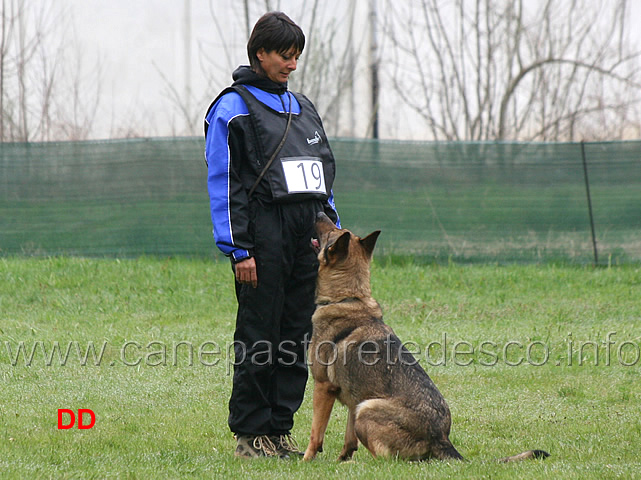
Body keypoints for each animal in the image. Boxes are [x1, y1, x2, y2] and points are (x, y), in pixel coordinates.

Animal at [302, 213, 548, 462]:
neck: (349, 298)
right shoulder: (354, 398)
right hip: (363, 405)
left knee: (387, 460)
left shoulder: (323, 388)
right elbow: (349, 440)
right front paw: (342, 459)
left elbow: (316, 434)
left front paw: (307, 461)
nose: (319, 213)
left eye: (331, 233)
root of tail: (441, 438)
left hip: (367, 408)